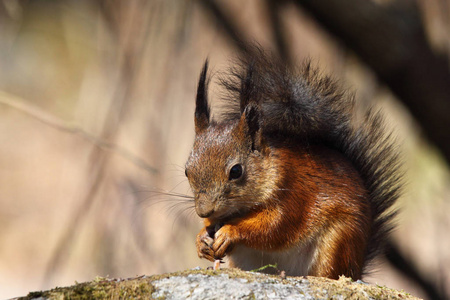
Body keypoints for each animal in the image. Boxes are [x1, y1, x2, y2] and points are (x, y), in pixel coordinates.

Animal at [184, 48, 400, 280]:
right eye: (187, 171)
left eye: (236, 171)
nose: (204, 211)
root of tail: (357, 268)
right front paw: (201, 240)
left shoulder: (293, 190)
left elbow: (275, 226)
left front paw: (230, 232)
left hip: (339, 241)